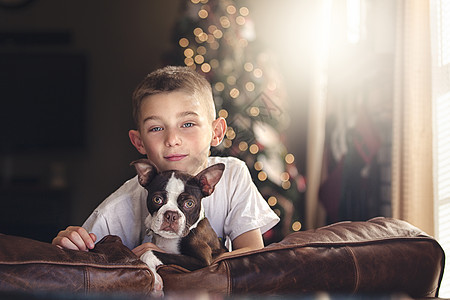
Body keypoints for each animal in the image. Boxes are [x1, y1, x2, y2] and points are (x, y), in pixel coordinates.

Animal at [130, 159, 229, 292]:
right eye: (157, 199)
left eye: (189, 203)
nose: (171, 215)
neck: (169, 239)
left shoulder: (203, 261)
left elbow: (149, 253)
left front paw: (155, 281)